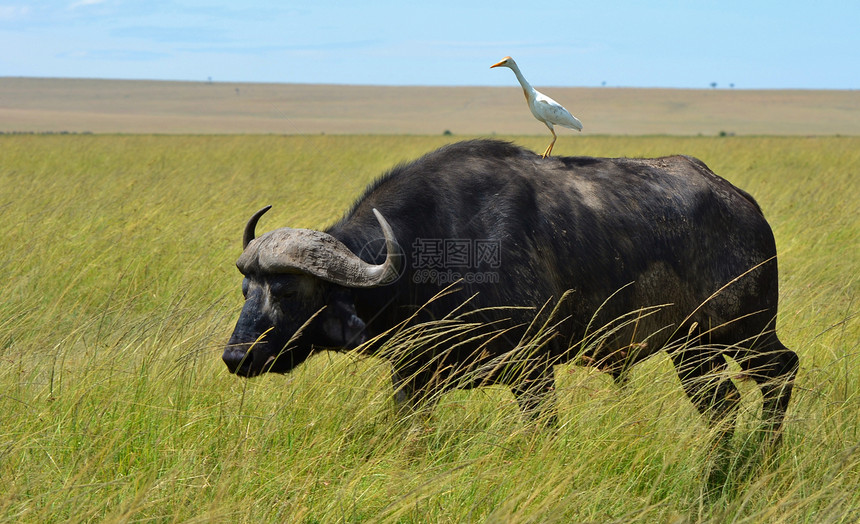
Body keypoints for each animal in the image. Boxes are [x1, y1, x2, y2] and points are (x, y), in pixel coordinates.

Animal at [223, 137, 800, 444]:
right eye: (247, 289)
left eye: (288, 290)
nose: (235, 356)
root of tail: (745, 206)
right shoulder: (413, 378)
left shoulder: (533, 372)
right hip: (692, 349)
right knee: (723, 406)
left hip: (746, 331)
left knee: (781, 371)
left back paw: (763, 454)